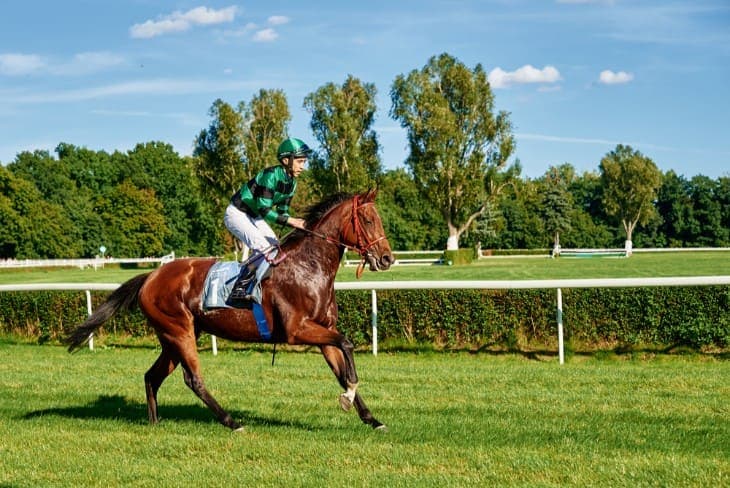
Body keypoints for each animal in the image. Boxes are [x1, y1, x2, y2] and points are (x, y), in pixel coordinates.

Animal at [65, 189, 394, 431]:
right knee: (193, 379)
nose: (387, 258)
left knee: (152, 376)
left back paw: (155, 422)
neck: (307, 268)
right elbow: (347, 344)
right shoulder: (297, 330)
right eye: (367, 220)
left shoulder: (322, 331)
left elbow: (340, 365)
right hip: (179, 332)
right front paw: (349, 393)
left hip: (173, 337)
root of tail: (151, 276)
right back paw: (231, 422)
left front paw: (371, 417)